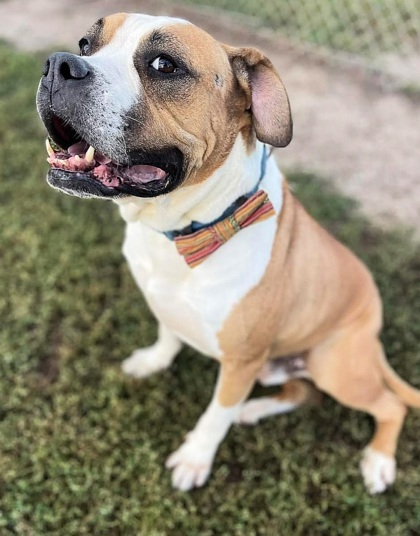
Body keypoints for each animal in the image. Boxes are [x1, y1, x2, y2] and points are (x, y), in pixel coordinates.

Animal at [37, 12, 420, 494]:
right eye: (86, 44)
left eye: (164, 65)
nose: (58, 64)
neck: (184, 229)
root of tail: (374, 338)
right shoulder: (167, 305)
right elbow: (168, 334)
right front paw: (153, 360)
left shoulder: (240, 364)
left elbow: (216, 414)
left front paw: (195, 458)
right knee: (300, 392)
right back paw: (255, 409)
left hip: (334, 365)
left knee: (390, 406)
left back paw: (378, 461)